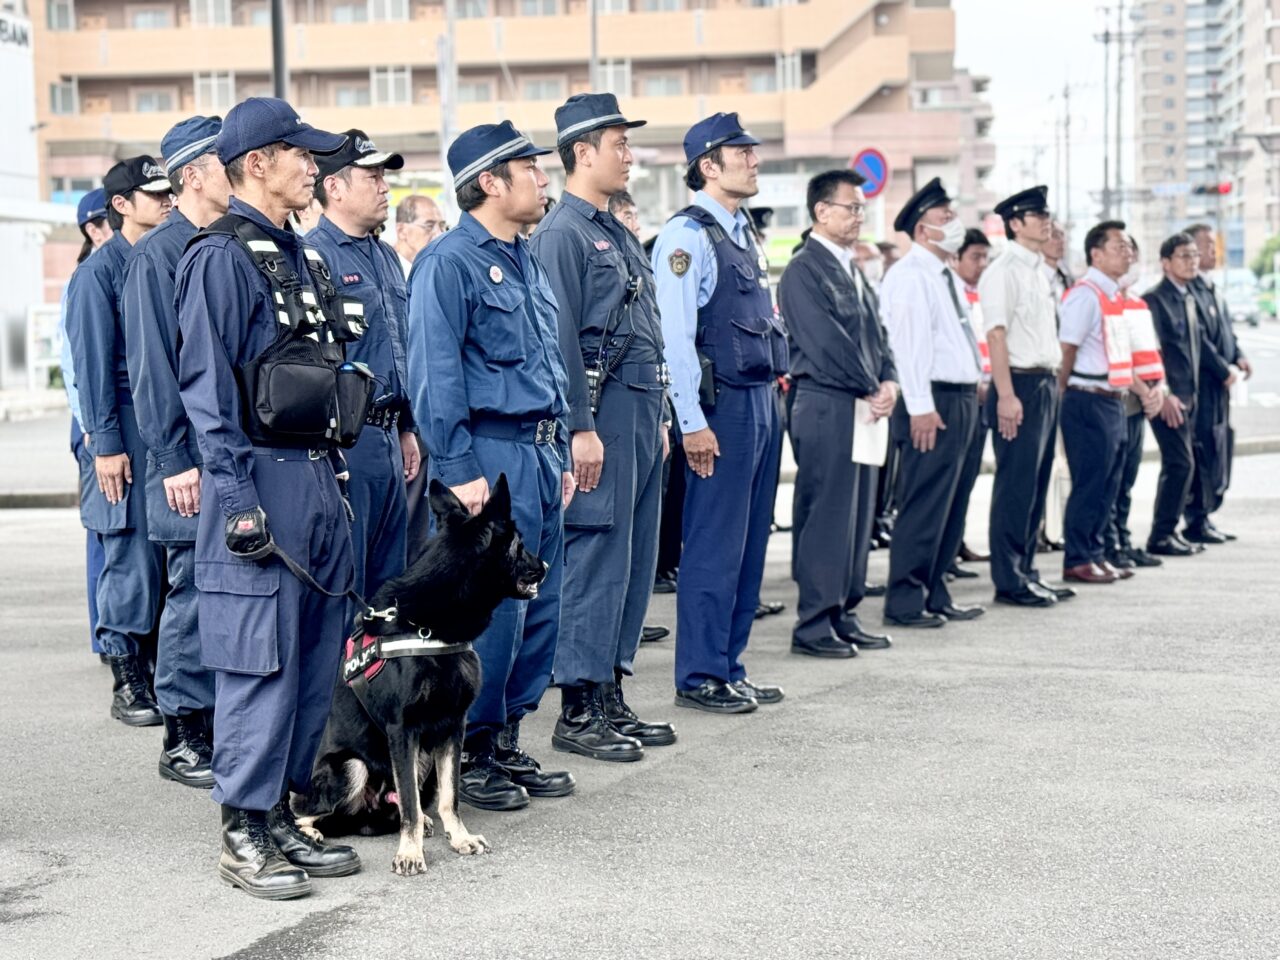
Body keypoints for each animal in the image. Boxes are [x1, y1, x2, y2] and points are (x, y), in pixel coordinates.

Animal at [290, 478, 545, 875]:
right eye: (520, 546)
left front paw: (459, 837)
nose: (545, 565)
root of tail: (364, 815)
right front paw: (409, 853)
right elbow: (410, 800)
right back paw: (311, 832)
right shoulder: (402, 730)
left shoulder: (453, 725)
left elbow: (449, 796)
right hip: (351, 767)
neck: (427, 627)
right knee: (307, 810)